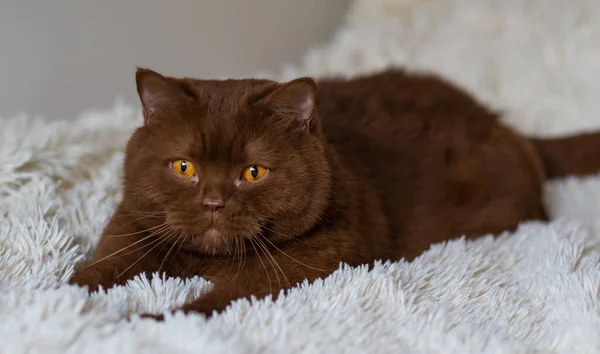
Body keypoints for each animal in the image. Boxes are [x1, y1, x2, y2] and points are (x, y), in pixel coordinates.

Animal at [68, 67, 600, 318]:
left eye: (253, 173)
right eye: (185, 167)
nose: (214, 202)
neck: (206, 261)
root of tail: (505, 124)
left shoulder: (303, 264)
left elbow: (218, 300)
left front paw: (145, 322)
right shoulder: (132, 227)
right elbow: (98, 270)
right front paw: (62, 297)